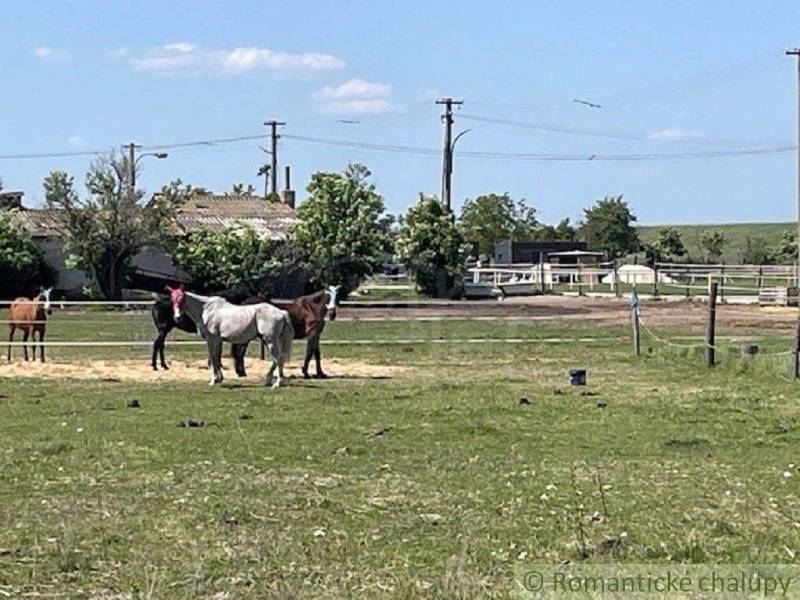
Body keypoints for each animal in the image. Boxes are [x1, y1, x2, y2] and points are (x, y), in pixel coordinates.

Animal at [166, 286, 294, 390]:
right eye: (172, 299)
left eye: (181, 299)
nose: (177, 317)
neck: (206, 310)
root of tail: (281, 312)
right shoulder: (217, 341)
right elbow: (216, 359)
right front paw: (219, 379)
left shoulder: (212, 340)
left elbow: (213, 359)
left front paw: (213, 381)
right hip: (270, 341)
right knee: (276, 360)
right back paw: (268, 380)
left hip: (270, 341)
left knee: (278, 359)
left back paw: (277, 383)